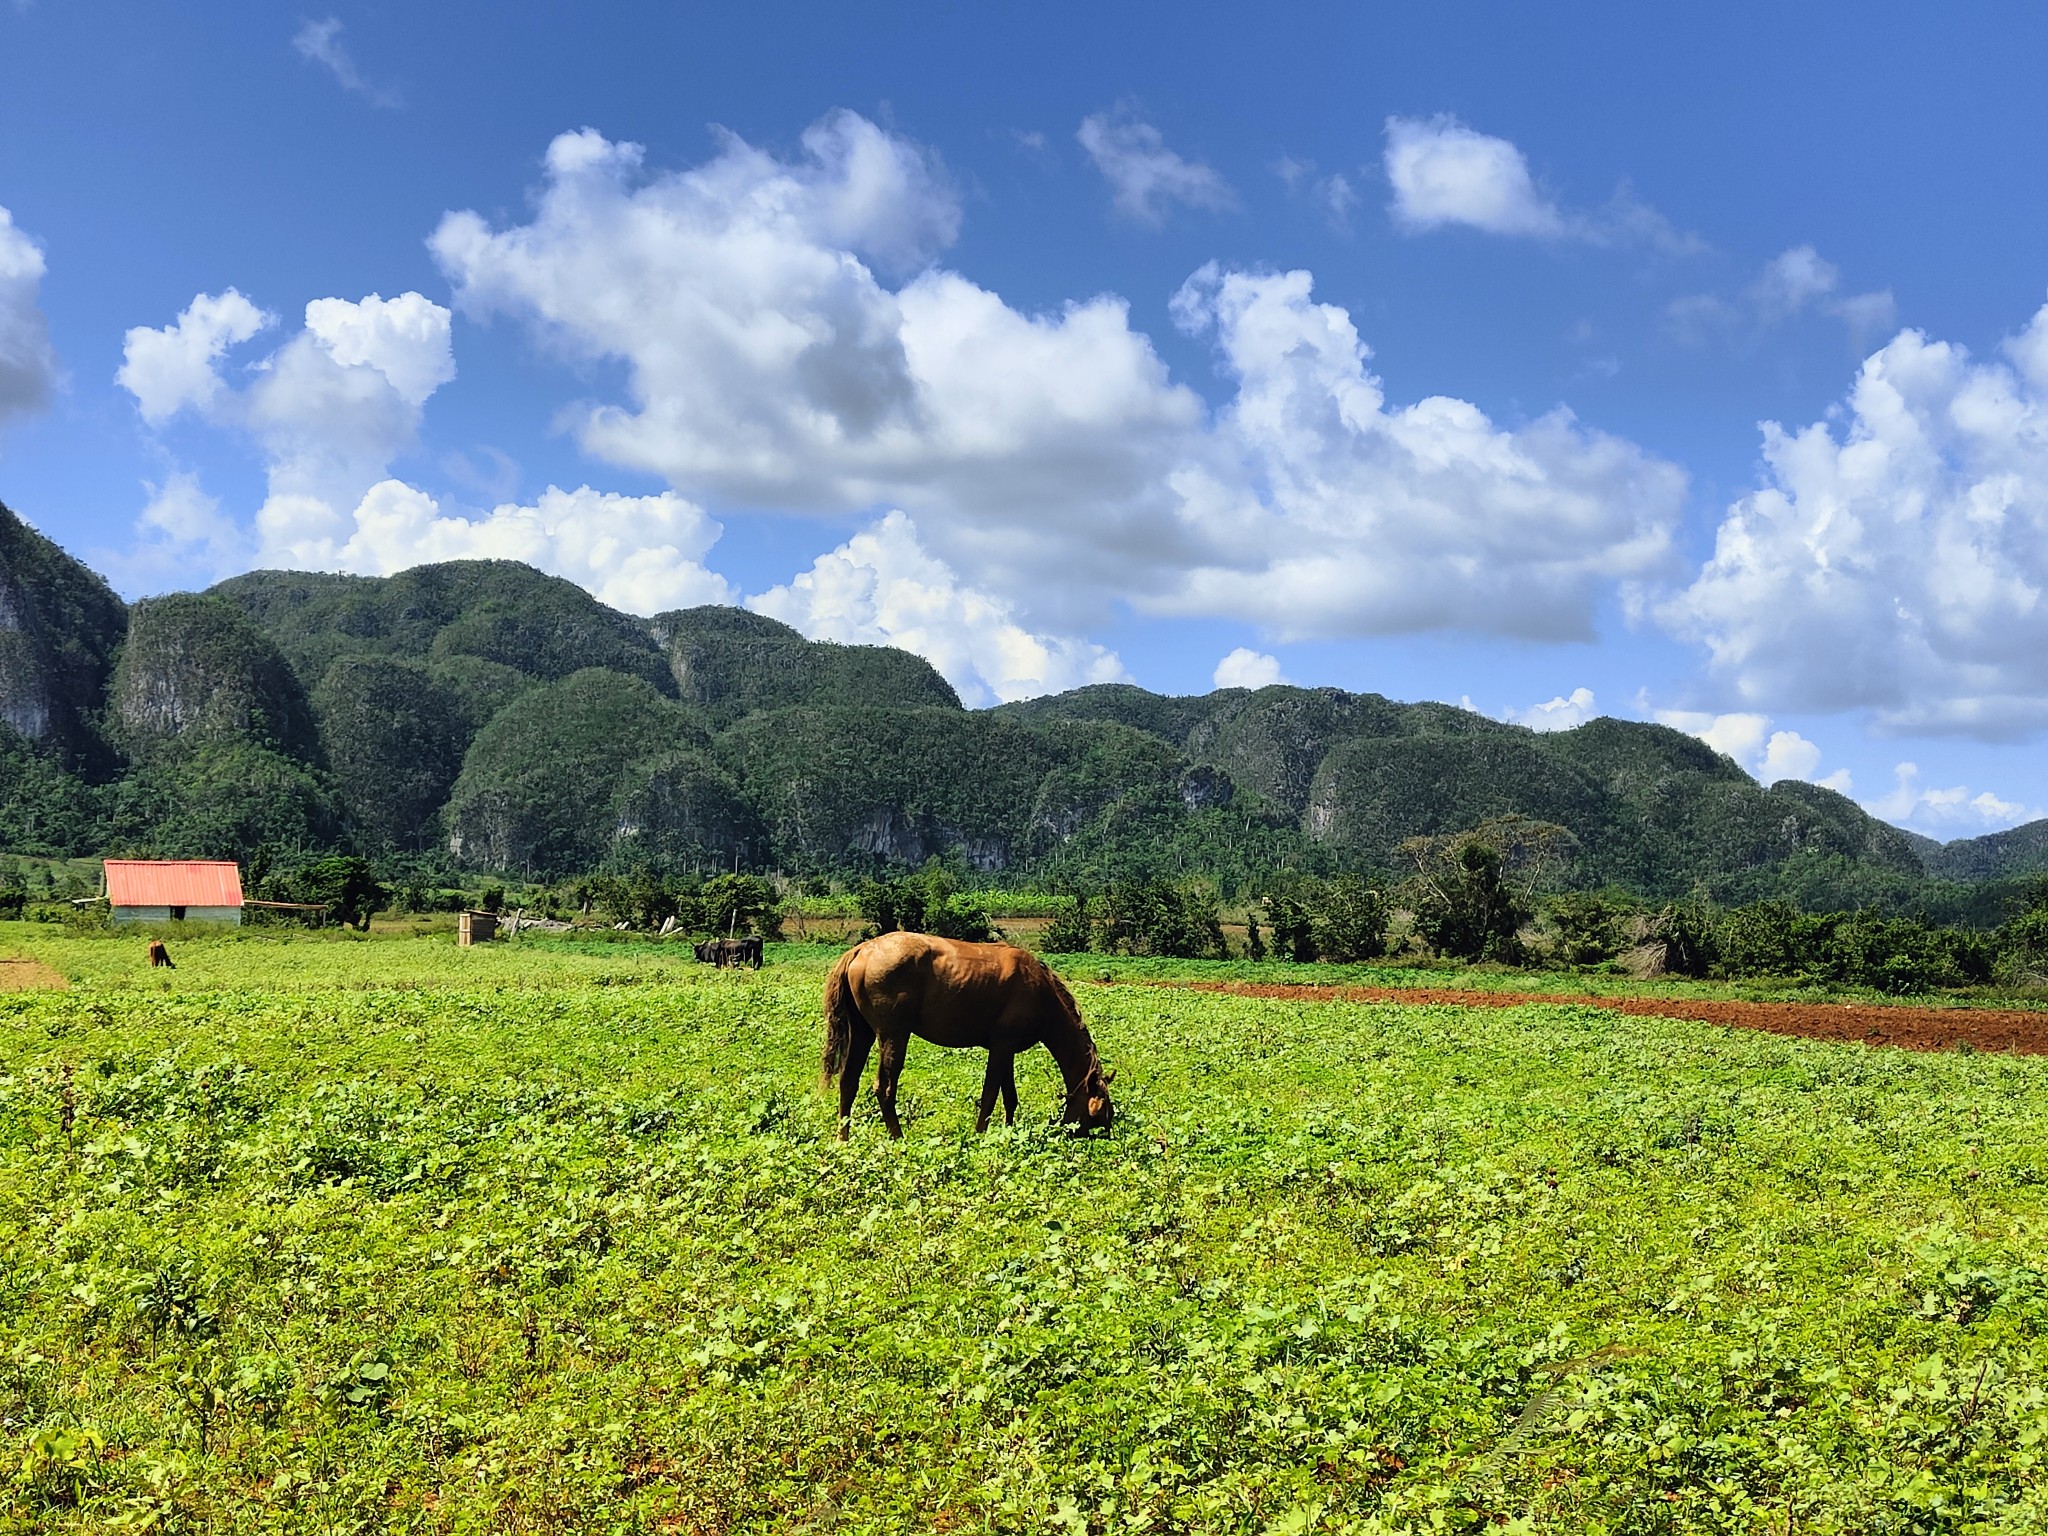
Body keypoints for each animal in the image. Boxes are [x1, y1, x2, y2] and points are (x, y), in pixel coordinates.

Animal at [819, 925, 1114, 1146]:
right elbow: (991, 1094)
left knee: (848, 1082)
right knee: (884, 1087)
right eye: (1099, 1112)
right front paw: (980, 1135)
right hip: (893, 1035)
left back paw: (843, 1139)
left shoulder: (1006, 1048)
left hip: (862, 1033)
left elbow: (1010, 1096)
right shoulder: (1001, 1046)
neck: (1039, 988)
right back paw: (898, 1138)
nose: (1105, 1139)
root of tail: (861, 950)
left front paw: (1008, 1132)